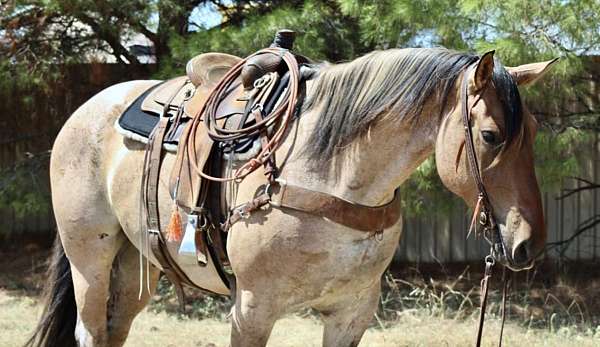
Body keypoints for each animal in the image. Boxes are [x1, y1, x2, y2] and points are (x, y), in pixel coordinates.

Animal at [25, 47, 556, 347]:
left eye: (533, 131)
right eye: (490, 136)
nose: (527, 243)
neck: (332, 175)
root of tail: (85, 112)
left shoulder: (352, 314)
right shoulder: (252, 312)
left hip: (135, 265)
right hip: (90, 262)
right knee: (91, 330)